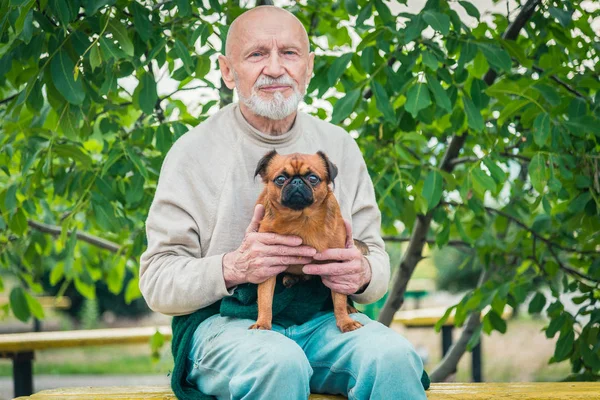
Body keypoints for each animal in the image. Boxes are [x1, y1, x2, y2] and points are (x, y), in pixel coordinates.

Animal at [251, 148, 368, 332]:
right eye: (280, 179)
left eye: (313, 178)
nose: (297, 181)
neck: (300, 218)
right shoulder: (267, 264)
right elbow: (264, 299)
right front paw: (262, 323)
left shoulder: (338, 266)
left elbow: (339, 300)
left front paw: (345, 321)